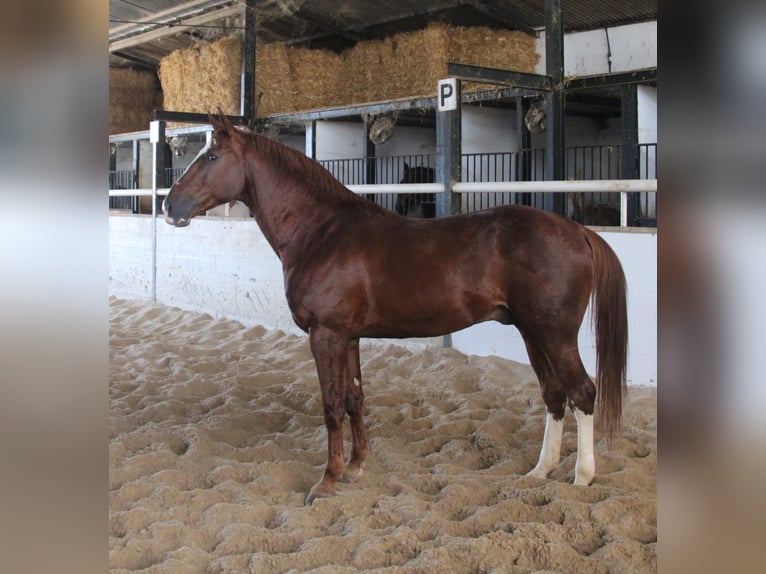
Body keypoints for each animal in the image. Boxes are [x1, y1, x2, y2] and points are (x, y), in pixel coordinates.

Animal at [163, 111, 628, 506]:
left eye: (212, 156)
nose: (170, 206)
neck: (321, 231)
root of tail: (578, 230)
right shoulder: (348, 337)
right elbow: (354, 398)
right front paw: (356, 466)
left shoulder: (326, 335)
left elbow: (331, 405)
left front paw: (326, 481)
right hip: (532, 334)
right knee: (554, 395)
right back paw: (541, 471)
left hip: (554, 334)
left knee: (582, 394)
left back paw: (582, 477)